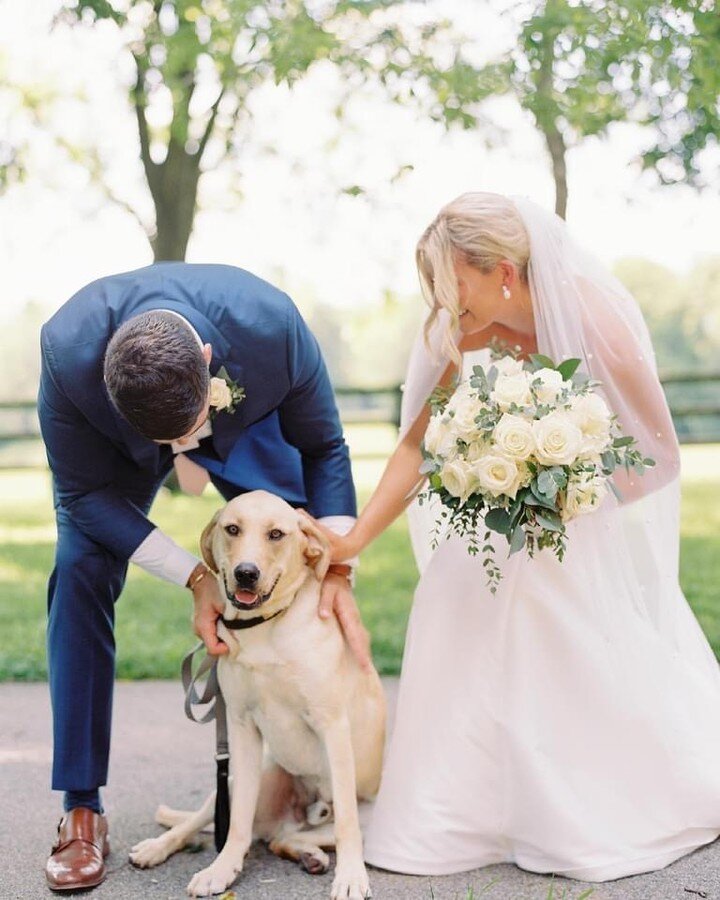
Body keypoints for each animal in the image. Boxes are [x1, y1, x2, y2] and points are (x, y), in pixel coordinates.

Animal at [129, 492, 388, 900]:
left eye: (276, 534)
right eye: (232, 529)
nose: (245, 573)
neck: (266, 627)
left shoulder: (332, 725)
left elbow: (347, 821)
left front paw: (350, 876)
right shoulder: (241, 726)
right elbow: (237, 823)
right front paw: (222, 869)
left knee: (294, 835)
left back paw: (312, 855)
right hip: (244, 777)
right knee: (218, 822)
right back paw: (158, 847)